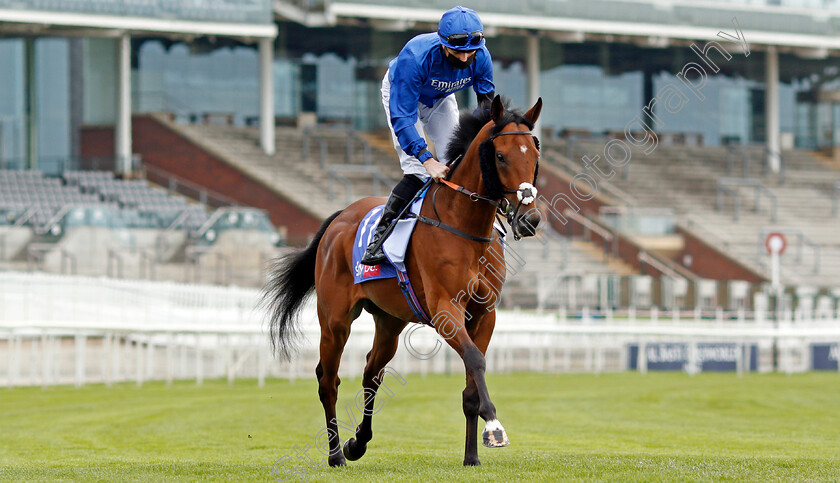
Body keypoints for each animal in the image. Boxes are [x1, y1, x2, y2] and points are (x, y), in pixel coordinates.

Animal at [260, 95, 544, 468]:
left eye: (534, 155)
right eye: (500, 156)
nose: (530, 218)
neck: (465, 226)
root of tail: (339, 218)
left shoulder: (485, 313)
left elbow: (471, 379)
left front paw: (471, 456)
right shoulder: (445, 310)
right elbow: (475, 360)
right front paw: (494, 428)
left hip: (390, 321)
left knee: (371, 373)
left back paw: (357, 443)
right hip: (335, 319)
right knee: (328, 380)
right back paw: (336, 454)